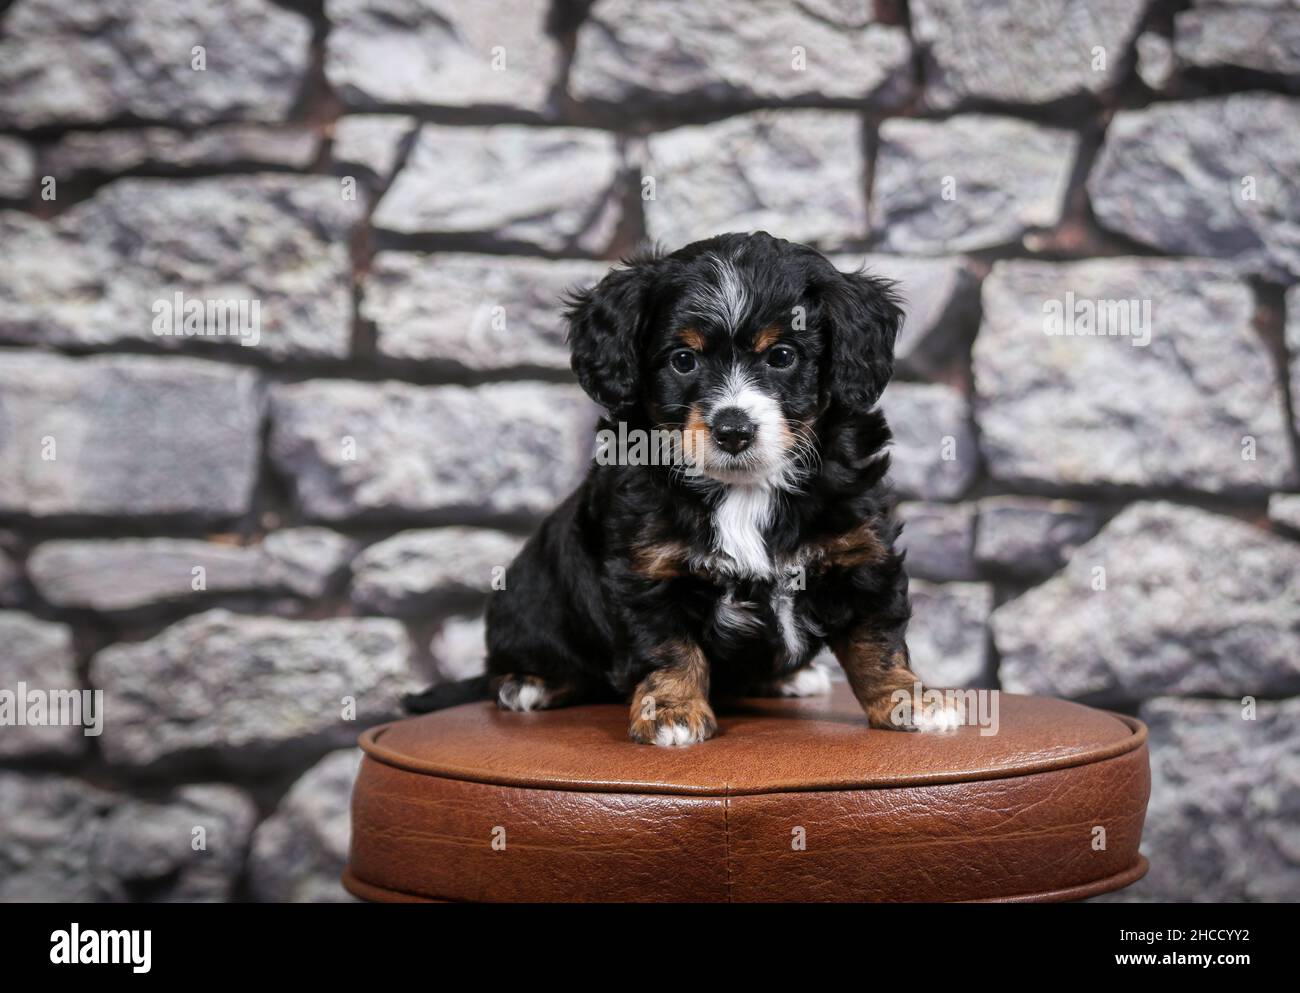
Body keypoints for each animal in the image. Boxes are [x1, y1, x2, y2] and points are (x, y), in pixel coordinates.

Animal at [405, 232, 946, 743]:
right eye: (683, 360)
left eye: (783, 356)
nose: (733, 430)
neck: (745, 487)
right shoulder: (647, 571)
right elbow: (668, 649)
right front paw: (671, 713)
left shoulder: (862, 553)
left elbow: (877, 641)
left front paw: (909, 702)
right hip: (527, 601)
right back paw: (527, 682)